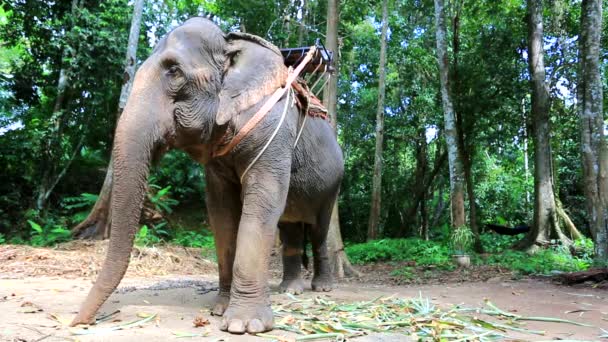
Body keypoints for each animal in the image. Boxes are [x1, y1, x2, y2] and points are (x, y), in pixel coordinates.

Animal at [69, 17, 344, 336]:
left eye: (174, 71)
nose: (80, 322)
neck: (231, 42)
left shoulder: (273, 132)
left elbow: (262, 202)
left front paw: (244, 325)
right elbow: (221, 212)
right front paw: (220, 309)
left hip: (333, 184)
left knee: (320, 230)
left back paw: (322, 288)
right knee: (290, 228)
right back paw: (290, 290)